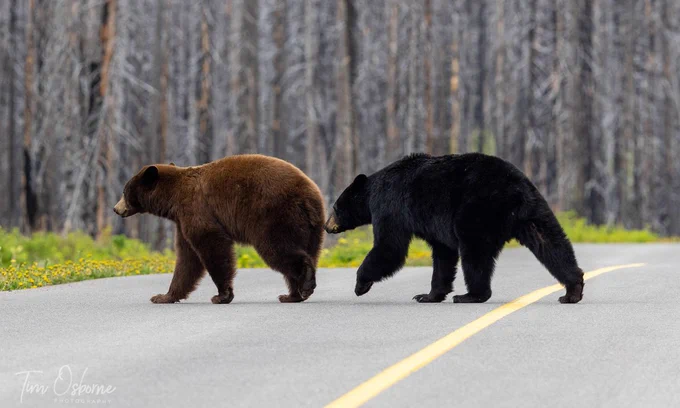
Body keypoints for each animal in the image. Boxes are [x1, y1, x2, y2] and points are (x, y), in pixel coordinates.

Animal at [113, 154, 325, 304]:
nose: (116, 208)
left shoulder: (196, 209)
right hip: (312, 228)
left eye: (124, 191)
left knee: (278, 249)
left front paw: (222, 295)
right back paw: (292, 295)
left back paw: (305, 284)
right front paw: (164, 296)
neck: (173, 199)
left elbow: (212, 246)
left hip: (274, 215)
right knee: (307, 251)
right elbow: (187, 259)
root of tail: (309, 196)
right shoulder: (182, 222)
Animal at [325, 152, 585, 304]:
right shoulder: (434, 225)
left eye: (335, 207)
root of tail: (515, 191)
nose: (327, 227)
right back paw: (572, 290)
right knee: (551, 243)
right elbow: (443, 255)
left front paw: (360, 285)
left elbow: (390, 247)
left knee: (474, 254)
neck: (371, 193)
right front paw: (427, 295)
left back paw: (471, 295)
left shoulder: (391, 206)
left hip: (477, 211)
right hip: (533, 212)